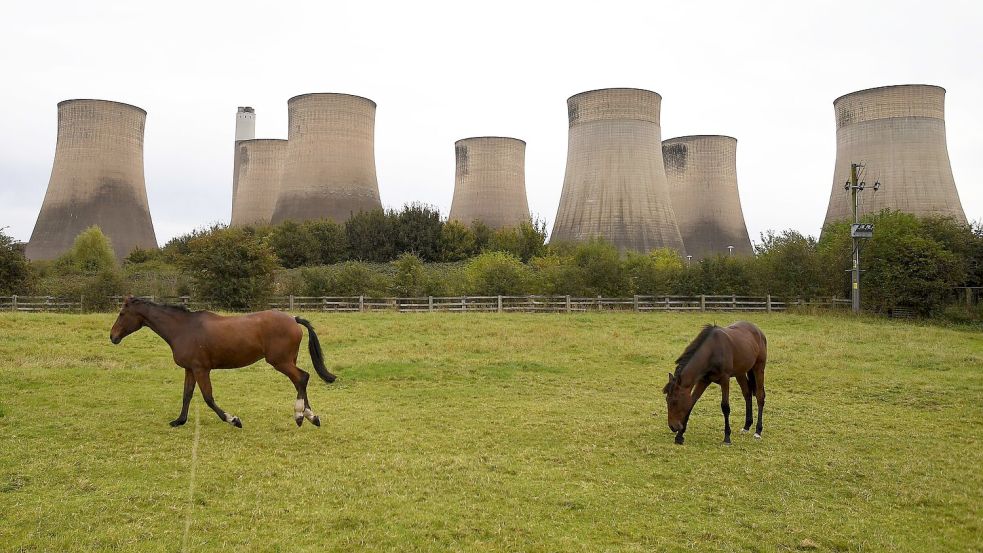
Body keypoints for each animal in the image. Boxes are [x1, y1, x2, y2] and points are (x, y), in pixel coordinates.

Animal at [110, 298, 336, 426]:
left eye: (122, 313)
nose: (112, 337)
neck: (183, 329)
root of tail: (293, 319)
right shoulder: (190, 369)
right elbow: (187, 395)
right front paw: (179, 421)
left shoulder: (202, 369)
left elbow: (208, 398)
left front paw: (233, 420)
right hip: (287, 361)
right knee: (300, 381)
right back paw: (311, 417)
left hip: (281, 362)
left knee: (302, 378)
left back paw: (301, 416)